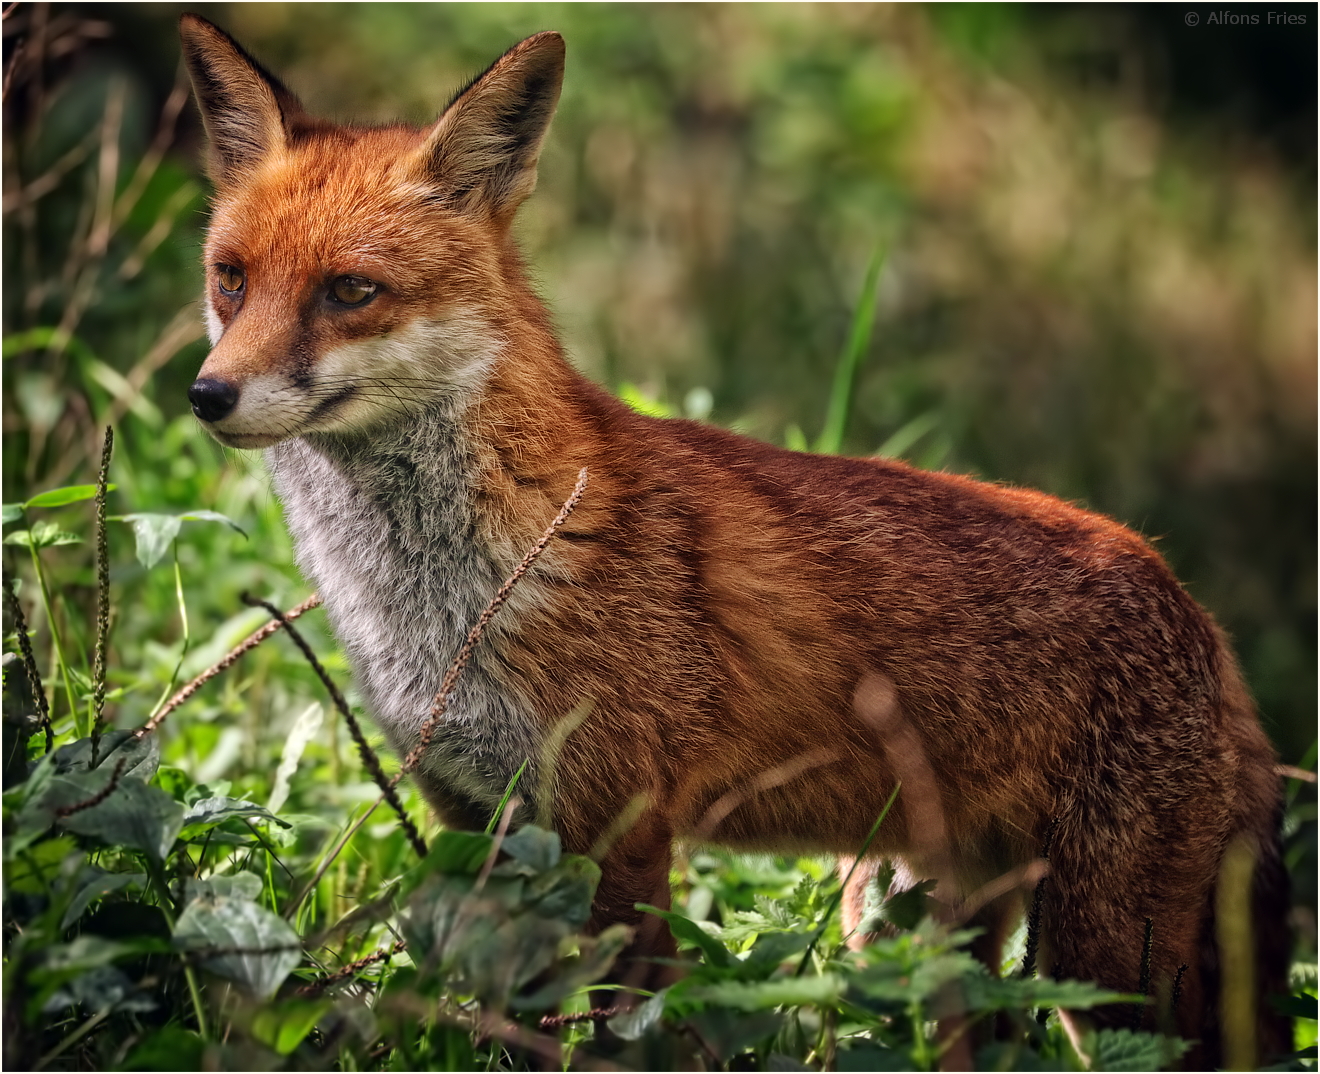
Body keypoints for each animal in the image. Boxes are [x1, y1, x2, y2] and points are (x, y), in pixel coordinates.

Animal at [180, 16, 1283, 1066]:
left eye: (349, 291)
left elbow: (626, 1033)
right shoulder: (478, 828)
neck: (453, 597)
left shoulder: (621, 832)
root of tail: (1196, 609)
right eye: (230, 279)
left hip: (1103, 959)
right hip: (908, 926)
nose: (208, 395)